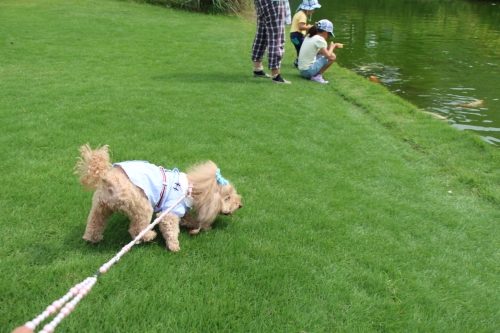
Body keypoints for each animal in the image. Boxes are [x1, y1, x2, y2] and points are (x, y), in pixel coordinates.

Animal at [74, 144, 244, 250]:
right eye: (227, 197)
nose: (240, 205)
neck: (190, 189)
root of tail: (107, 177)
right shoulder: (170, 211)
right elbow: (171, 229)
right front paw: (174, 246)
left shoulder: (180, 210)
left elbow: (190, 219)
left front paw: (205, 226)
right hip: (141, 206)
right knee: (136, 229)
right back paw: (149, 235)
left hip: (101, 207)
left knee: (94, 223)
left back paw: (92, 238)